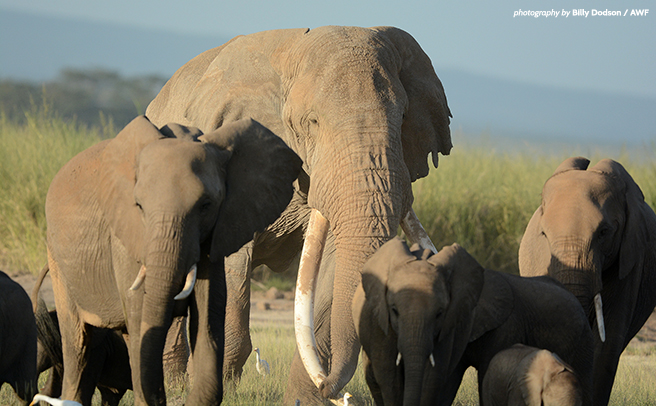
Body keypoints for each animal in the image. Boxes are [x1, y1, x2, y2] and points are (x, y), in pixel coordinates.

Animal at [44, 115, 301, 405]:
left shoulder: (215, 239)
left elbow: (208, 326)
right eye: (139, 206)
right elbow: (141, 324)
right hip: (56, 259)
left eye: (206, 205)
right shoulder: (126, 239)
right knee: (78, 344)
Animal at [145, 25, 452, 403]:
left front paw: (304, 398)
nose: (340, 393)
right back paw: (172, 383)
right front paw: (210, 390)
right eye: (312, 122)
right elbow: (230, 262)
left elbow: (333, 265)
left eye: (404, 118)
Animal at [352, 238, 594, 406]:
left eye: (440, 313)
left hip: (583, 338)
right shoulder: (377, 320)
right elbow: (389, 375)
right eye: (393, 311)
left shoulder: (500, 326)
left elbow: (438, 376)